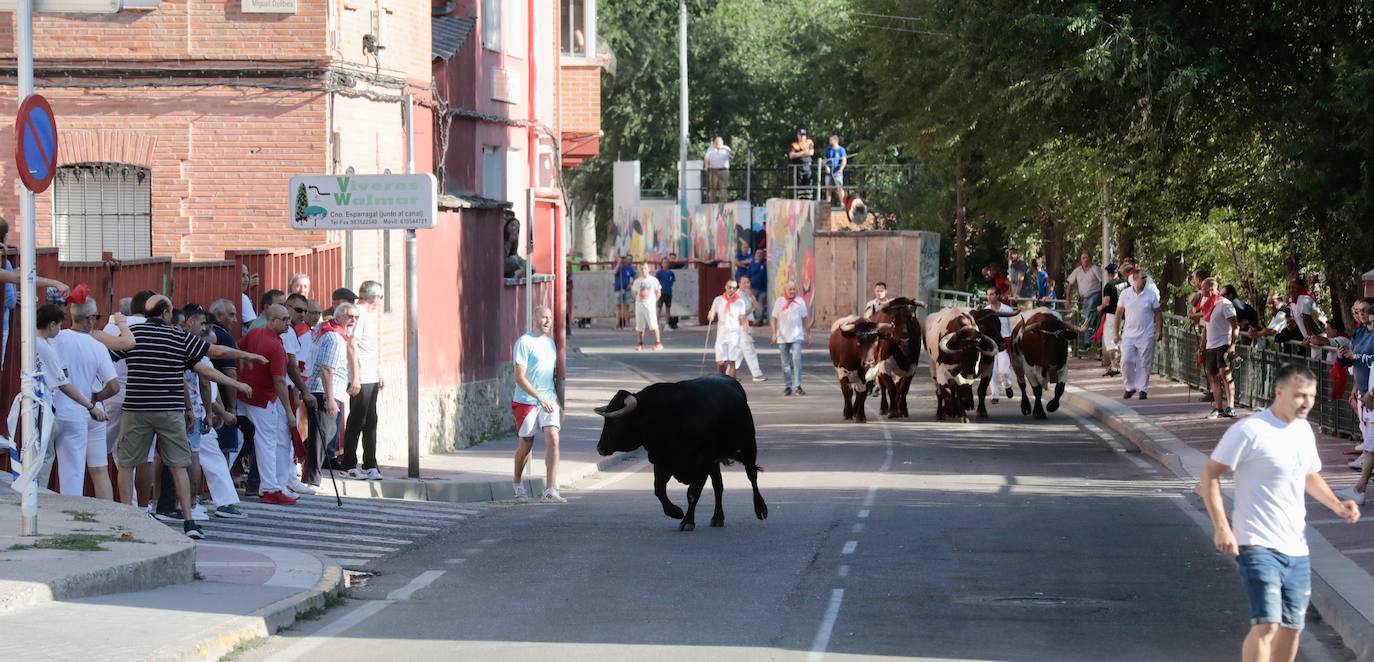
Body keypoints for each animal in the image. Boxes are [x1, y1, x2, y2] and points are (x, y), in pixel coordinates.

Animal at [596, 376, 769, 530]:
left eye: (616, 421)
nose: (600, 447)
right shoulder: (661, 461)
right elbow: (659, 490)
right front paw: (675, 512)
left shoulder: (702, 462)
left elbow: (692, 493)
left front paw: (687, 521)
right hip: (714, 463)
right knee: (718, 486)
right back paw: (717, 517)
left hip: (748, 448)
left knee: (752, 475)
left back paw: (760, 509)